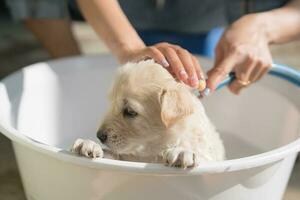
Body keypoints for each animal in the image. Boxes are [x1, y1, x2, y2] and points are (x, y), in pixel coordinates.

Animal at [71, 60, 224, 168]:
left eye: (130, 112)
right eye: (111, 103)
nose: (99, 136)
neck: (154, 151)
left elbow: (203, 157)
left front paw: (183, 152)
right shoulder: (128, 157)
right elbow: (113, 155)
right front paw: (89, 144)